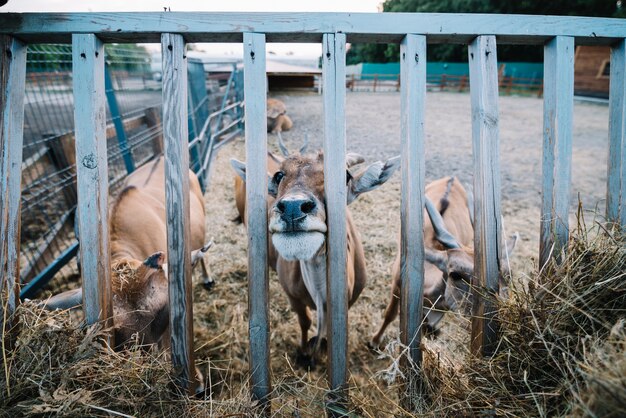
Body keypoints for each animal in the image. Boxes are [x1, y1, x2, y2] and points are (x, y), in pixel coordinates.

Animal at [232, 150, 398, 366]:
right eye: (279, 175)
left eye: (346, 176)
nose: (293, 208)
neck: (319, 295)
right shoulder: (293, 296)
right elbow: (305, 321)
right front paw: (304, 353)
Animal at [370, 176, 516, 346]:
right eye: (456, 274)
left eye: (508, 275)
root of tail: (452, 179)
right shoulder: (396, 284)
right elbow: (390, 314)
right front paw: (374, 341)